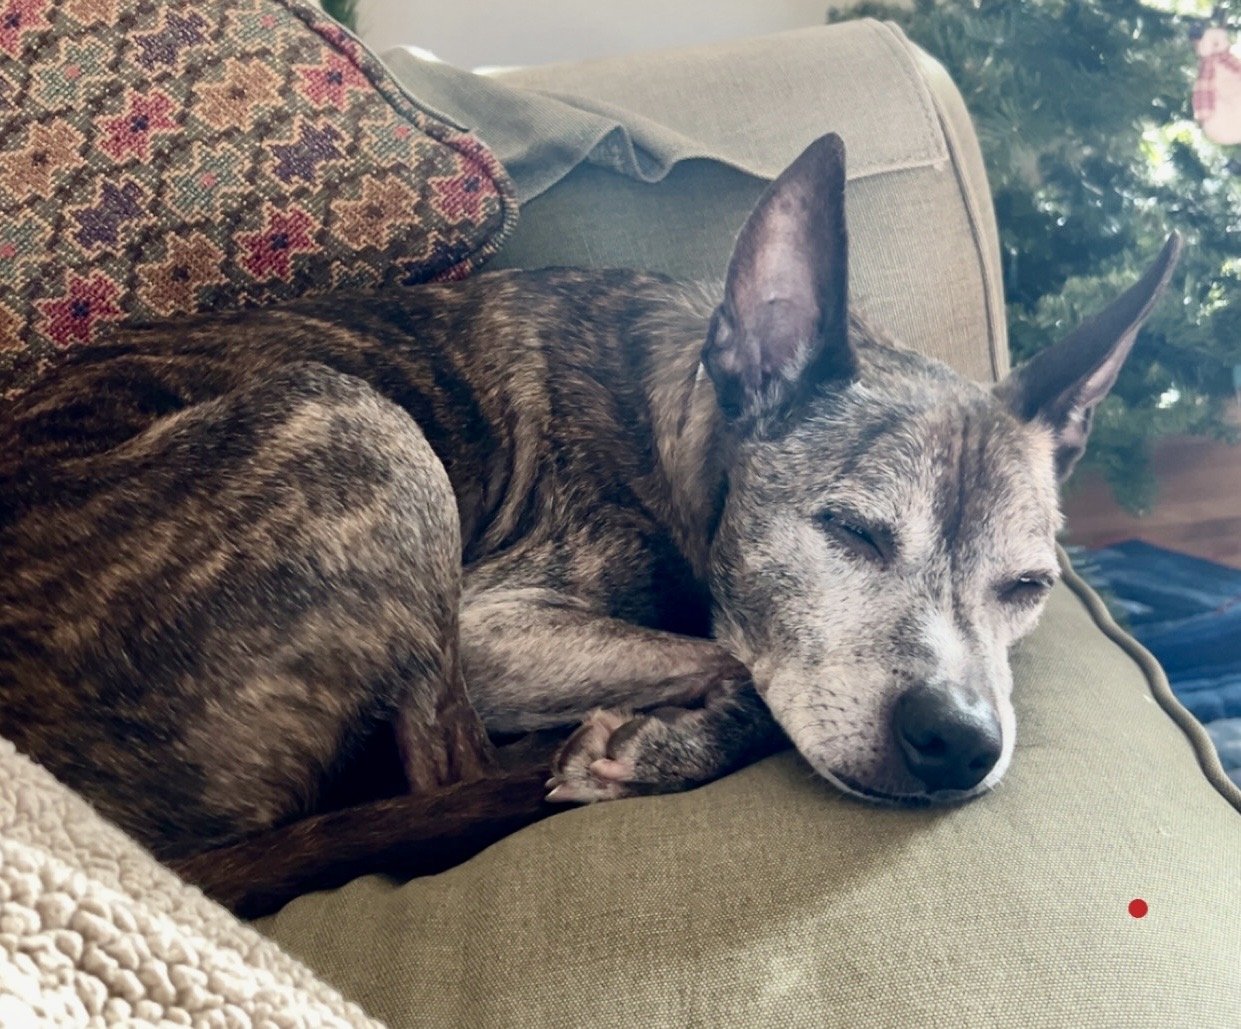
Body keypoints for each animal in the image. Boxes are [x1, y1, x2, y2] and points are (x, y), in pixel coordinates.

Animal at [0, 134, 1180, 916]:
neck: (676, 420)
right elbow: (737, 662)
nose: (960, 743)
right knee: (450, 774)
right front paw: (659, 742)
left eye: (1027, 587)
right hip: (361, 429)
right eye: (847, 530)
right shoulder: (492, 625)